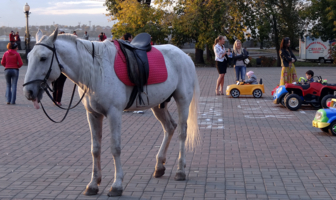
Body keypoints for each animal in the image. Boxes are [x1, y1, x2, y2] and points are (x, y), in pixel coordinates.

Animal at [23, 28, 200, 197]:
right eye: (29, 57)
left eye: (43, 58)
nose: (28, 92)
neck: (95, 71)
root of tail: (185, 56)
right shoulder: (93, 114)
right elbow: (95, 149)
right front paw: (93, 184)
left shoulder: (114, 113)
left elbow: (115, 148)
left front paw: (117, 185)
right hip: (158, 105)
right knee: (169, 128)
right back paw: (159, 166)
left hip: (182, 101)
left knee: (182, 132)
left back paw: (180, 170)